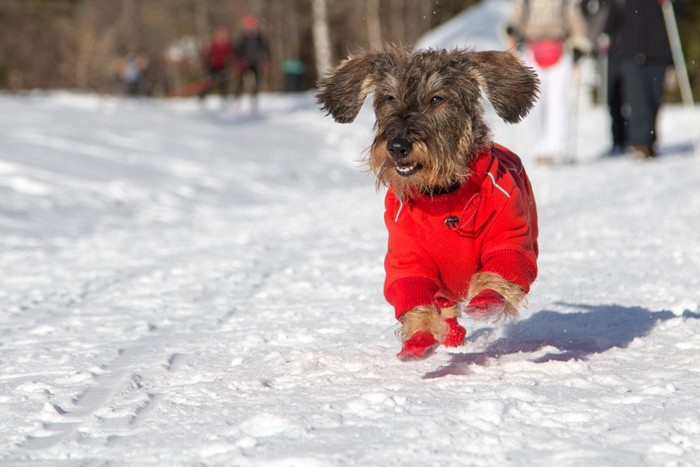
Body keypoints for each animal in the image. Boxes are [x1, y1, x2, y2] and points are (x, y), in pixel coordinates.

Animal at [318, 47, 540, 362]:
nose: (397, 146)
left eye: (437, 99)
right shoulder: (407, 258)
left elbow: (502, 269)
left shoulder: (511, 238)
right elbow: (412, 293)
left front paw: (487, 296)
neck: (444, 196)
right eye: (389, 98)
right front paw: (419, 335)